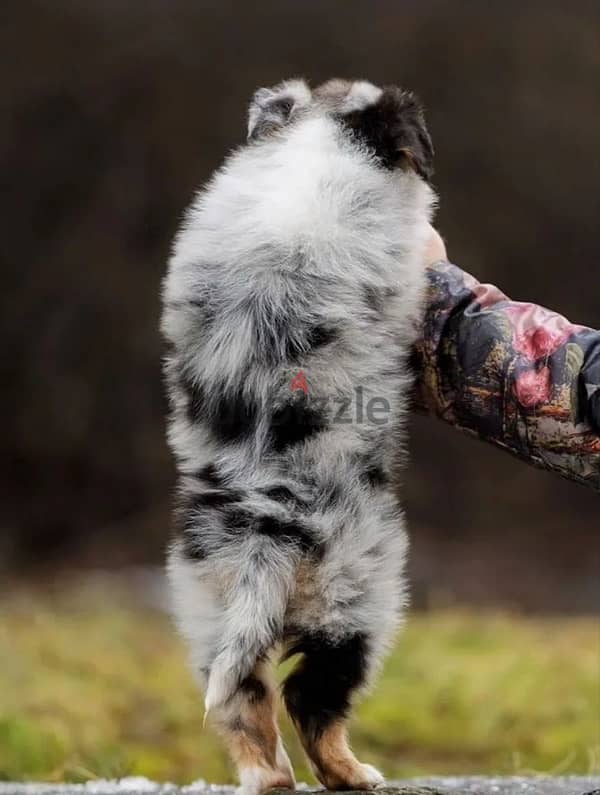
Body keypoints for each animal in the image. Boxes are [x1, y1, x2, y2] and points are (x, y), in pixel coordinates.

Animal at [163, 79, 436, 795]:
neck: (316, 136)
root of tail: (268, 527)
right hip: (359, 598)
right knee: (312, 697)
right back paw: (354, 772)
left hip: (211, 604)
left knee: (242, 699)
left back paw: (270, 778)